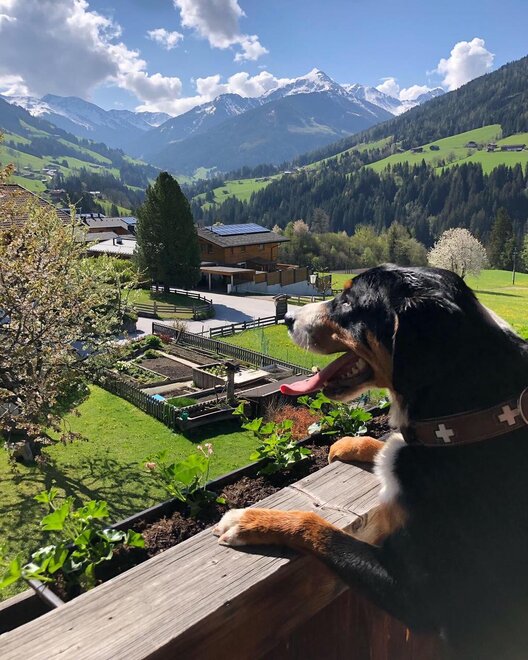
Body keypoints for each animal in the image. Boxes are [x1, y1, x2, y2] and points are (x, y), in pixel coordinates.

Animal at [214, 264, 528, 659]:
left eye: (349, 301)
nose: (286, 317)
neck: (470, 416)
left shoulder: (419, 594)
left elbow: (316, 526)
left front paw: (251, 520)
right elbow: (388, 445)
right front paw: (349, 444)